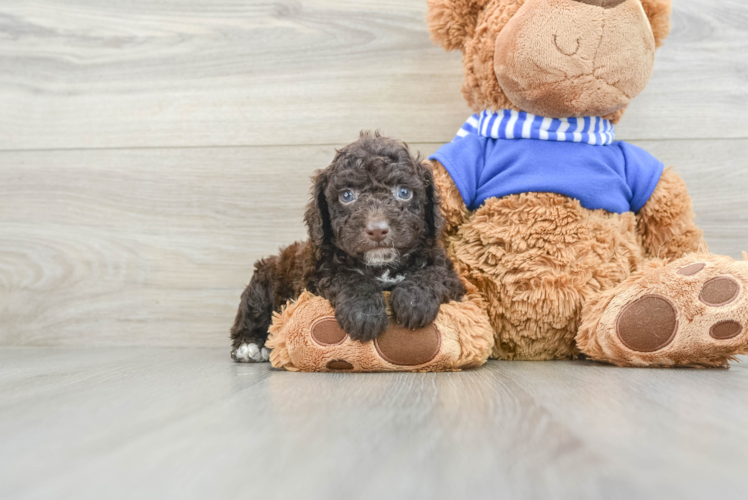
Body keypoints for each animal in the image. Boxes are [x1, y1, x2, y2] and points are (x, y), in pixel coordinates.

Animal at [231, 131, 464, 362]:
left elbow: (434, 274)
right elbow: (347, 277)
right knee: (252, 311)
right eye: (346, 195)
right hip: (263, 281)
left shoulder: (448, 272)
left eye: (404, 192)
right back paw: (249, 345)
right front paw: (365, 313)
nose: (377, 230)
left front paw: (414, 301)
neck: (381, 266)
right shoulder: (317, 273)